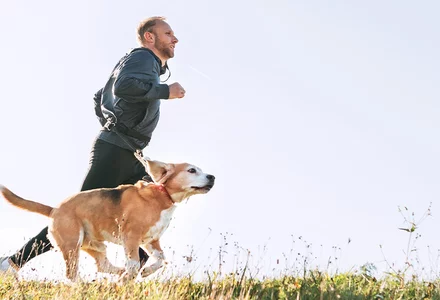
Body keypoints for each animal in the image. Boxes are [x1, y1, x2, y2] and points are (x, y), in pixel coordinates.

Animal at [0, 159, 216, 282]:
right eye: (191, 171)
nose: (212, 176)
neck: (162, 195)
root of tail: (54, 209)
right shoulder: (131, 237)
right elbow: (134, 263)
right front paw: (133, 274)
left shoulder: (151, 240)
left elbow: (161, 259)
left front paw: (145, 272)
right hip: (72, 245)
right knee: (71, 274)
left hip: (95, 245)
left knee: (102, 265)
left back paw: (119, 273)